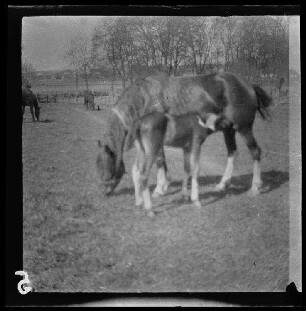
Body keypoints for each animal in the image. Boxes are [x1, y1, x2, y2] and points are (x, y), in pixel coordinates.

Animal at [97, 71, 272, 206]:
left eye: (104, 163)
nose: (104, 192)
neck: (144, 98)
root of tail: (248, 84)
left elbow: (159, 160)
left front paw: (159, 189)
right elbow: (162, 161)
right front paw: (164, 186)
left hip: (243, 128)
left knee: (255, 152)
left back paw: (255, 187)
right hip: (228, 130)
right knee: (232, 153)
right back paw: (222, 184)